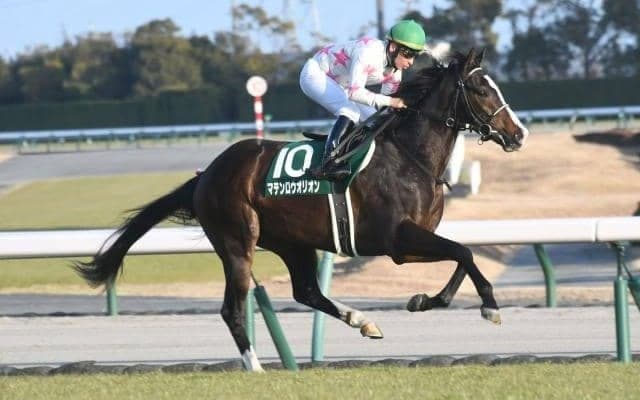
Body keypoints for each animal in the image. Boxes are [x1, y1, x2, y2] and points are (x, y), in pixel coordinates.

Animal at [74, 48, 529, 372]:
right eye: (482, 90)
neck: (409, 156)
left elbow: (460, 255)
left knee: (306, 290)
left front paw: (426, 300)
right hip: (237, 242)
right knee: (232, 308)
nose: (519, 134)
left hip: (294, 242)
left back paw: (362, 320)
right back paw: (256, 368)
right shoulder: (397, 239)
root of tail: (205, 175)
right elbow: (463, 252)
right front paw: (489, 305)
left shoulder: (409, 243)